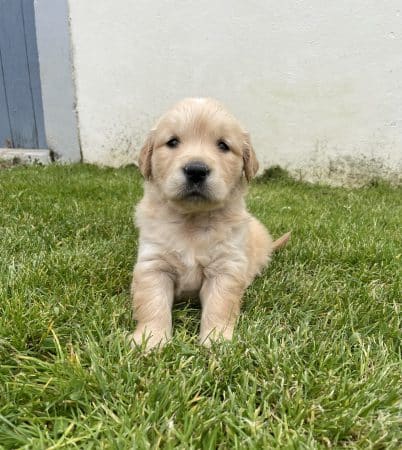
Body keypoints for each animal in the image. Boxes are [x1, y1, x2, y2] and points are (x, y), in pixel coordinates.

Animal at [130, 97, 288, 352]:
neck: (192, 221)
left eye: (223, 145)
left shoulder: (225, 268)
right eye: (172, 142)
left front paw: (217, 340)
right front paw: (150, 339)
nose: (196, 170)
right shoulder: (153, 263)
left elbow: (219, 306)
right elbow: (152, 303)